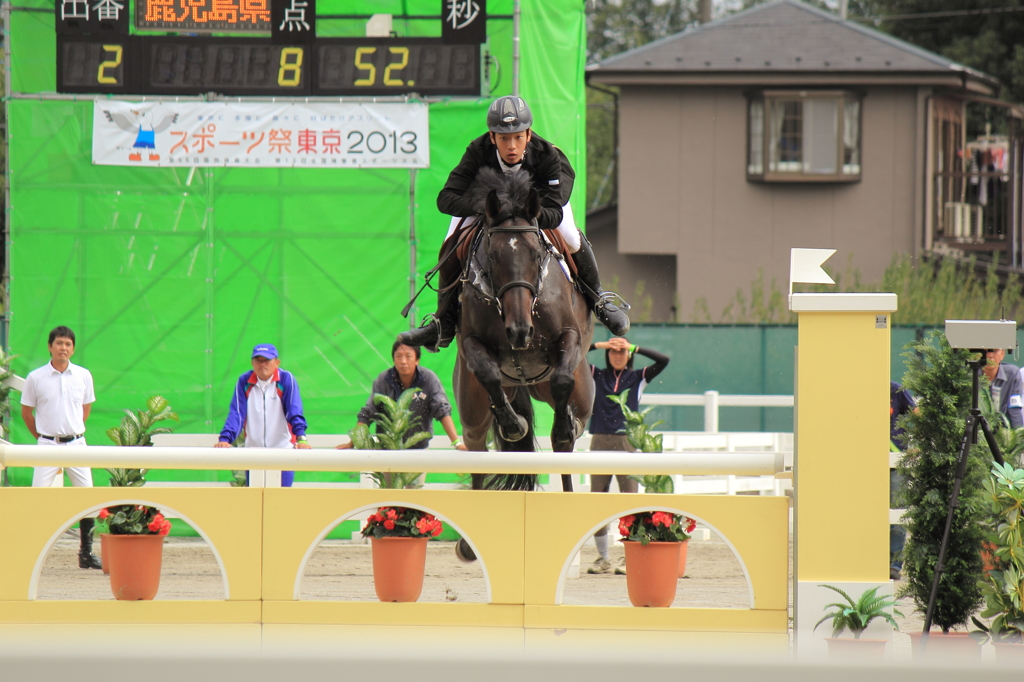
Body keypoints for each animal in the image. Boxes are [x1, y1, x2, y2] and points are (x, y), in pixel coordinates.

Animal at [454, 167, 598, 491]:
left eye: (535, 254)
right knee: (476, 452)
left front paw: (562, 426)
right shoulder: (470, 342)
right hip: (472, 414)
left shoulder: (570, 338)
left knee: (567, 443)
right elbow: (488, 373)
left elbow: (562, 379)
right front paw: (512, 424)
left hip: (581, 392)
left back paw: (566, 427)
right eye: (493, 256)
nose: (519, 332)